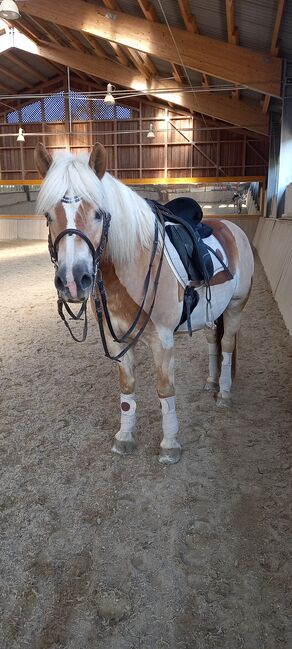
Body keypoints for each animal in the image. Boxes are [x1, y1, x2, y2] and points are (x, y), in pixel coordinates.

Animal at [33, 144, 253, 464]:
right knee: (214, 341)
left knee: (226, 346)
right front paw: (124, 437)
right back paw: (212, 383)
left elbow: (165, 391)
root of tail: (230, 226)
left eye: (99, 214)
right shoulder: (118, 340)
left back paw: (223, 393)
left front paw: (170, 445)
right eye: (49, 216)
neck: (133, 265)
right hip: (214, 314)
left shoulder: (162, 340)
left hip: (236, 306)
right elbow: (127, 389)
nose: (73, 281)